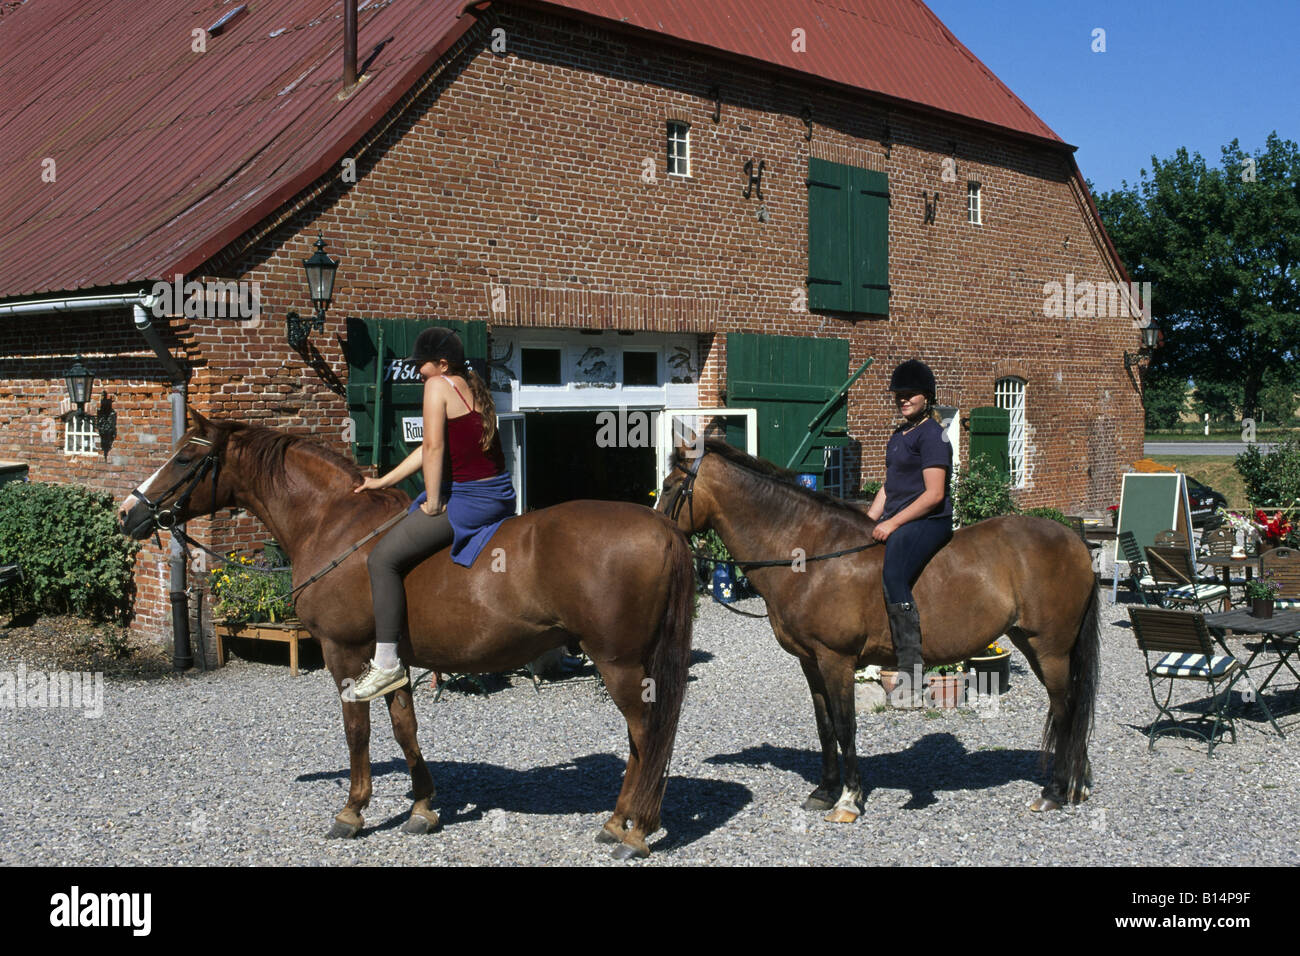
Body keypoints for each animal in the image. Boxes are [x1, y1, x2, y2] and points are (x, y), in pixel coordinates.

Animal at [122, 411, 696, 858]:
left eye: (183, 459)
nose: (128, 512)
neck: (337, 525)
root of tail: (662, 527)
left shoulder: (344, 654)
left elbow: (357, 731)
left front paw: (353, 810)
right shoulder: (391, 661)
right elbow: (405, 729)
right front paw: (422, 807)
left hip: (617, 663)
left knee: (646, 734)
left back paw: (635, 830)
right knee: (642, 740)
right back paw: (619, 820)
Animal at [660, 442, 1097, 822]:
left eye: (668, 486)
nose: (661, 537)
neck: (809, 555)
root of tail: (1073, 539)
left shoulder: (836, 659)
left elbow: (845, 724)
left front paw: (848, 800)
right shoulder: (810, 662)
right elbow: (824, 726)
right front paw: (824, 791)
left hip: (1050, 647)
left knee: (1064, 708)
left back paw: (1053, 792)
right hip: (1033, 643)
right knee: (1070, 706)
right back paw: (1076, 784)